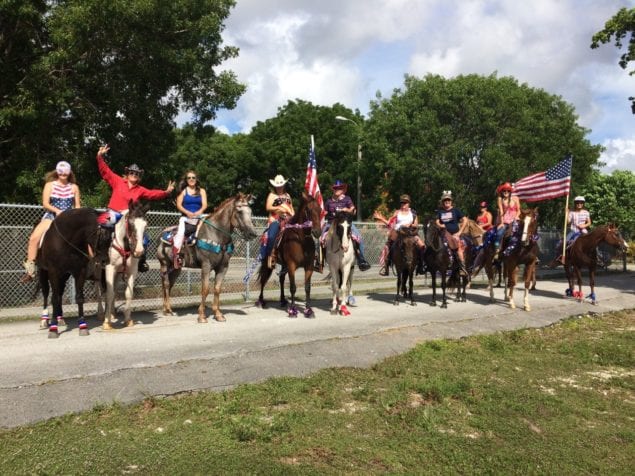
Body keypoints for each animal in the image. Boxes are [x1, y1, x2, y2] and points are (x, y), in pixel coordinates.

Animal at [37, 208, 99, 338]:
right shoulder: (53, 271)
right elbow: (54, 299)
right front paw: (53, 329)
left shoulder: (80, 271)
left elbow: (79, 298)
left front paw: (83, 326)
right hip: (43, 271)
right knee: (46, 292)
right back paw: (45, 320)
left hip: (64, 275)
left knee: (60, 292)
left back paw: (60, 318)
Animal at [103, 199, 150, 330]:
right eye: (131, 223)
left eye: (145, 225)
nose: (139, 251)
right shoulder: (109, 269)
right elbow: (109, 293)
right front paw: (106, 322)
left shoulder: (132, 271)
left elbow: (128, 294)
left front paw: (128, 320)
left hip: (118, 274)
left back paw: (112, 314)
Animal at [157, 193, 258, 324]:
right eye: (239, 211)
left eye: (250, 212)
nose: (253, 234)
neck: (216, 235)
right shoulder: (206, 266)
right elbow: (205, 289)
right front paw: (201, 316)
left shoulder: (223, 267)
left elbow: (217, 289)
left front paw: (218, 314)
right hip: (164, 264)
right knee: (166, 284)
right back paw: (168, 309)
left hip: (176, 268)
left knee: (169, 285)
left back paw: (166, 309)